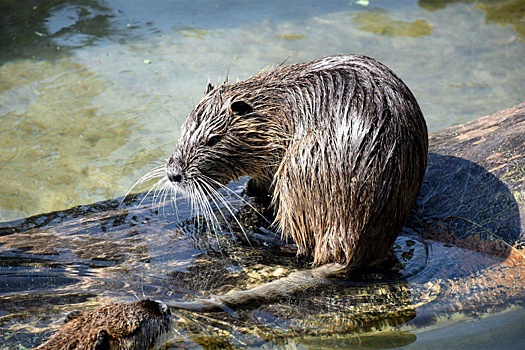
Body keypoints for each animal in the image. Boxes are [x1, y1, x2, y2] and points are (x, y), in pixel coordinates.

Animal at [166, 54, 428, 268]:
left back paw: (258, 236)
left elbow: (264, 179)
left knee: (305, 246)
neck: (278, 107)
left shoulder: (277, 153)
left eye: (213, 139)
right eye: (184, 127)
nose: (173, 174)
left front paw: (248, 190)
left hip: (298, 171)